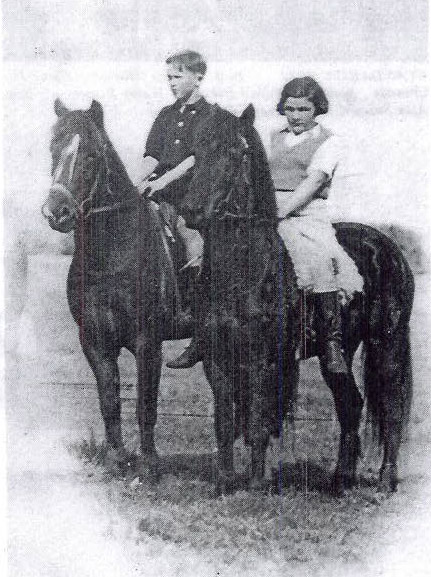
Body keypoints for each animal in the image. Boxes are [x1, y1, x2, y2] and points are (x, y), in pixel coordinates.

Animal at [180, 101, 416, 492]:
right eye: (197, 153)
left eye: (234, 153)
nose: (192, 211)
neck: (245, 270)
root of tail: (386, 246)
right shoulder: (216, 358)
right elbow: (225, 421)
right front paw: (225, 483)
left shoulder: (265, 358)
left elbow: (258, 419)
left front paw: (256, 484)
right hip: (341, 350)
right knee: (351, 404)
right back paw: (340, 479)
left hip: (387, 343)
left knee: (392, 403)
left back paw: (385, 479)